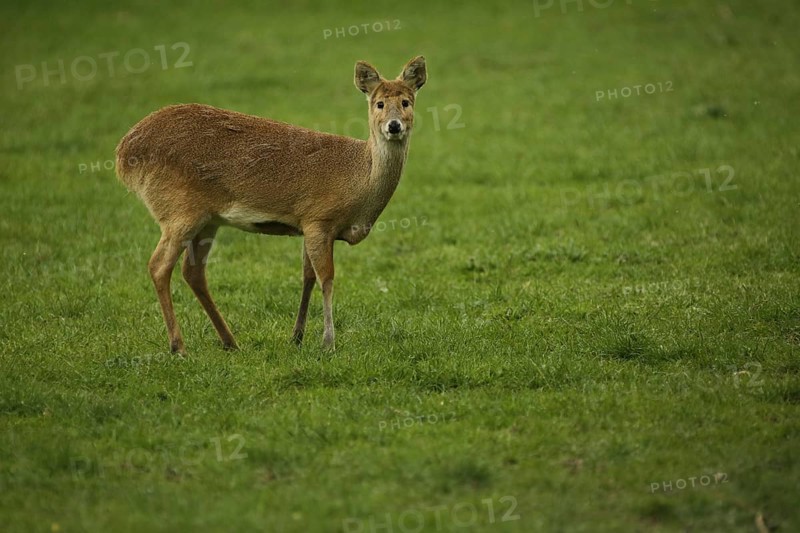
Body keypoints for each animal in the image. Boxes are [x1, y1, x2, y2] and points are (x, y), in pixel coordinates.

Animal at [115, 56, 427, 353]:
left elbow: (307, 277)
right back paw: (178, 347)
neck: (360, 179)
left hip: (207, 219)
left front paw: (297, 337)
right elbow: (326, 278)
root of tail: (124, 152)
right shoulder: (319, 219)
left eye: (406, 101)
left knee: (193, 272)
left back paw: (230, 341)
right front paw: (328, 343)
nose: (394, 125)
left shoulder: (306, 224)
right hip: (179, 210)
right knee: (159, 266)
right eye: (379, 103)